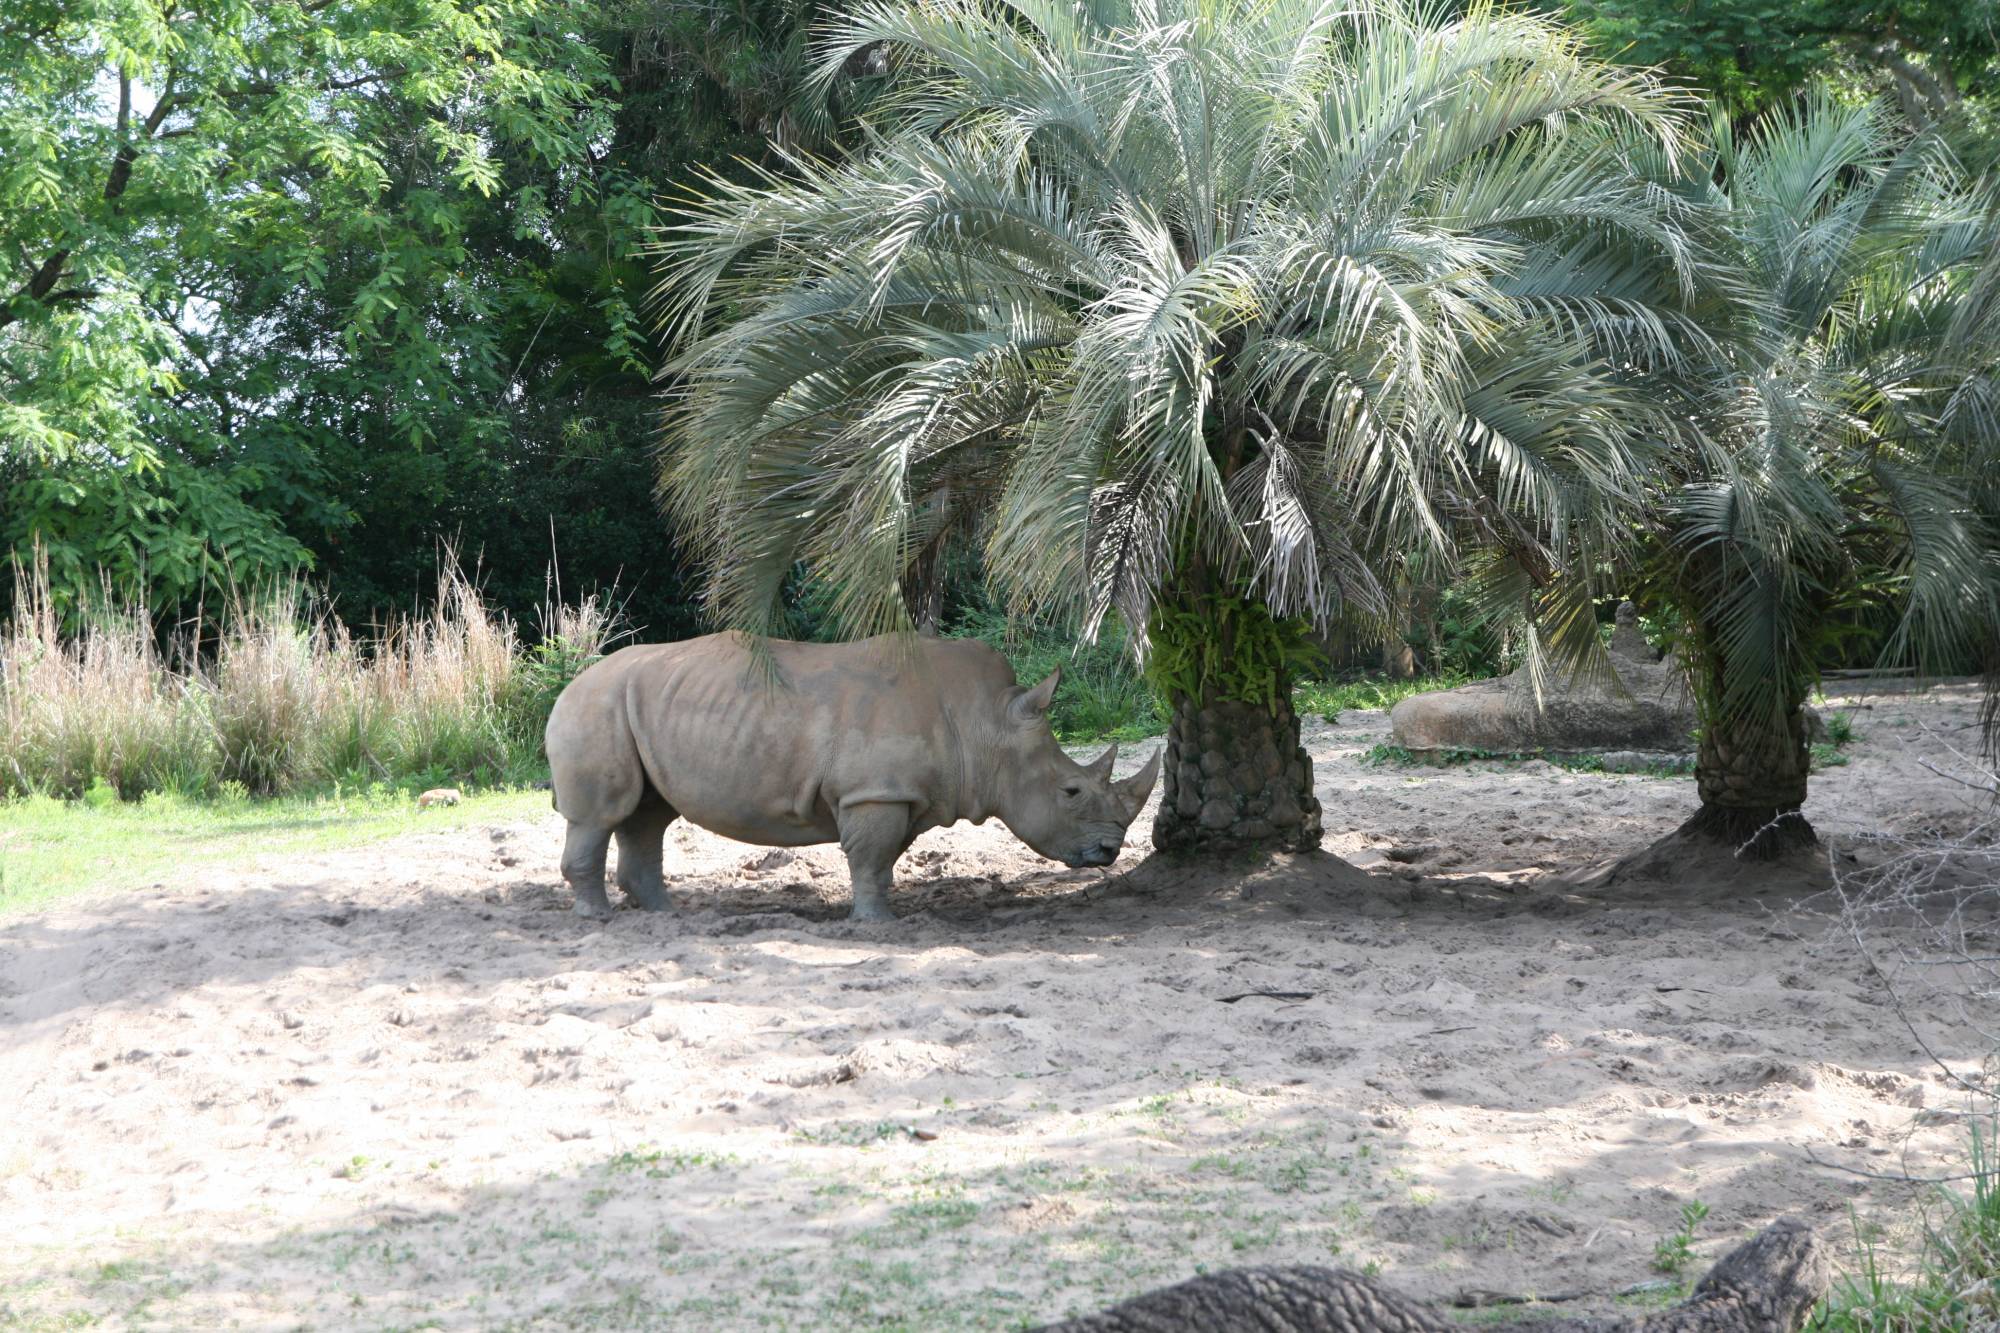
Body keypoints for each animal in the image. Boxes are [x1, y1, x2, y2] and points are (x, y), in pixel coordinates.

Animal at [548, 632, 1168, 920]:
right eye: (1071, 791)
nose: (1109, 853)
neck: (986, 724)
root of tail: (569, 686)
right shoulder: (875, 794)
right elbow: (870, 858)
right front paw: (877, 925)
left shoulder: (902, 795)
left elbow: (883, 859)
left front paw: (882, 913)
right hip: (596, 707)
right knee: (602, 814)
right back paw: (599, 917)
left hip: (636, 707)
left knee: (646, 814)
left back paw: (665, 916)